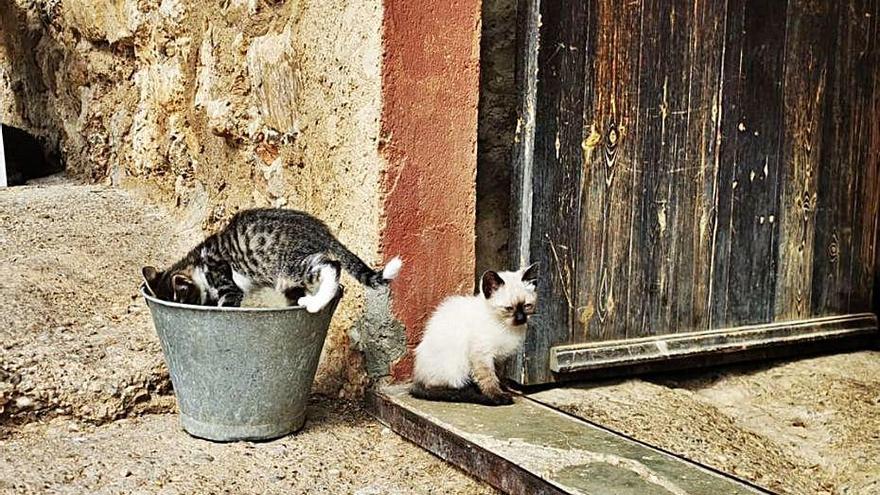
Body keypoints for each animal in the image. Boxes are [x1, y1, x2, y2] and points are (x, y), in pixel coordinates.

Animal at [410, 266, 536, 404]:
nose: (521, 318)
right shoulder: (482, 355)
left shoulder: (499, 358)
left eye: (527, 306)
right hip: (456, 366)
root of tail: (417, 377)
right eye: (509, 308)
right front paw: (497, 396)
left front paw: (503, 388)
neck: (505, 327)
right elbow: (489, 379)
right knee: (436, 387)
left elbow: (498, 375)